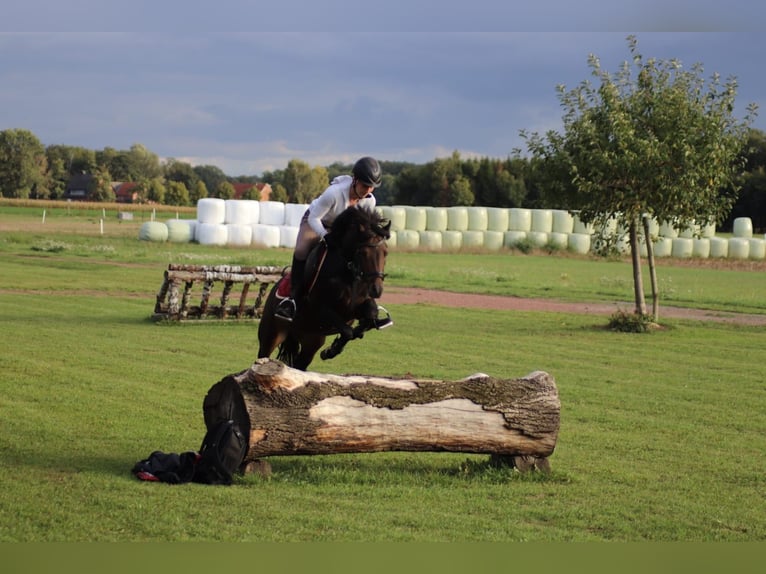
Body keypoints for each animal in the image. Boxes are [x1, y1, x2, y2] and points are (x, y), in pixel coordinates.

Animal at [258, 205, 392, 372]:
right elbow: (347, 331)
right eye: (363, 253)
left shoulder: (355, 308)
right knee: (263, 353)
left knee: (300, 365)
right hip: (272, 335)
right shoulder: (321, 309)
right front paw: (331, 350)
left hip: (312, 341)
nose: (376, 290)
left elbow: (369, 314)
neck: (348, 273)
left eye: (386, 252)